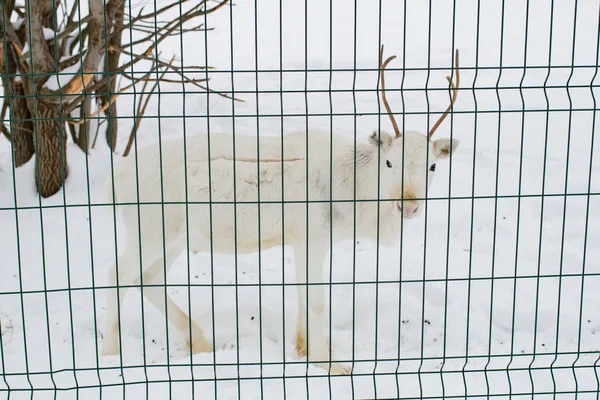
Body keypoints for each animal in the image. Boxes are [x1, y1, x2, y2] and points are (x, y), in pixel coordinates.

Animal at [102, 47, 460, 376]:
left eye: (432, 166)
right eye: (389, 162)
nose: (409, 204)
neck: (358, 188)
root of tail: (116, 178)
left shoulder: (303, 241)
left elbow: (303, 294)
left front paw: (303, 349)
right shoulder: (314, 236)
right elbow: (316, 300)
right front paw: (331, 364)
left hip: (173, 238)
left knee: (147, 278)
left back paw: (200, 342)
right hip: (150, 230)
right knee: (119, 273)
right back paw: (111, 353)